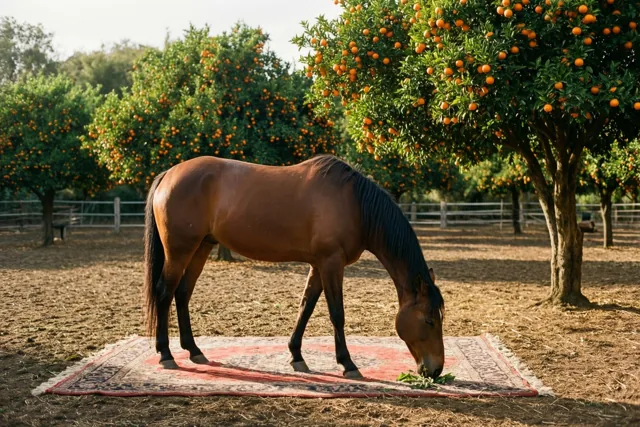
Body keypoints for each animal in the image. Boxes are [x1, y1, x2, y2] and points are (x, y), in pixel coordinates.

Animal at [143, 154, 445, 379]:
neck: (355, 204)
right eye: (429, 320)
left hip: (201, 247)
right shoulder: (331, 263)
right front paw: (348, 364)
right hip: (180, 250)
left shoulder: (319, 265)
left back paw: (194, 350)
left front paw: (296, 356)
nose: (436, 370)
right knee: (165, 292)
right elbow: (337, 314)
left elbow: (305, 308)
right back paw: (166, 354)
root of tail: (169, 174)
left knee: (182, 293)